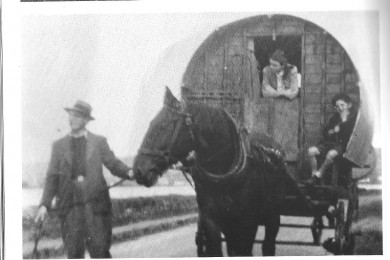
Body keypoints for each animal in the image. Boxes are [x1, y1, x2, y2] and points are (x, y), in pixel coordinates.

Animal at [133, 88, 290, 256]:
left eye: (163, 126)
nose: (138, 170)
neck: (223, 174)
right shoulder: (212, 220)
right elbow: (216, 249)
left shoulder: (247, 222)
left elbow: (244, 250)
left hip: (272, 215)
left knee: (268, 243)